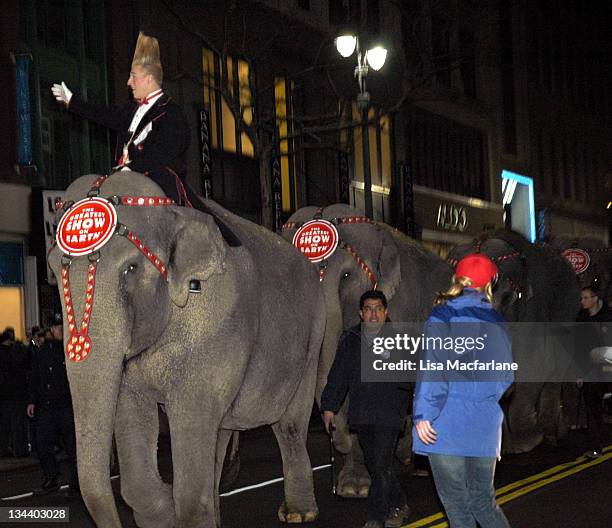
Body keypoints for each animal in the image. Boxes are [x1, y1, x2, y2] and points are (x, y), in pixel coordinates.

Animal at [47, 171, 326, 524]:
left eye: (131, 269)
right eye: (53, 271)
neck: (173, 211)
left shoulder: (216, 321)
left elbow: (192, 416)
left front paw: (180, 510)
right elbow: (131, 413)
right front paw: (165, 514)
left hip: (314, 333)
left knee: (289, 425)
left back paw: (299, 514)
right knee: (222, 430)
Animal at [448, 229, 580, 452]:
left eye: (507, 297)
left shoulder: (534, 312)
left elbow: (534, 367)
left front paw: (527, 441)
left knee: (556, 369)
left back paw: (550, 435)